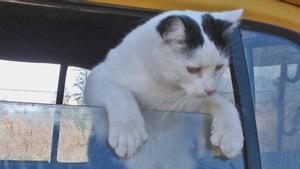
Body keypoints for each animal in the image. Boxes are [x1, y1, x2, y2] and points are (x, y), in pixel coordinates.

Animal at [84, 9, 244, 169]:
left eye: (219, 67)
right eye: (193, 69)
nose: (211, 89)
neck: (163, 86)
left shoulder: (190, 105)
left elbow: (224, 104)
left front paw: (231, 136)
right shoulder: (98, 76)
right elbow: (120, 94)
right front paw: (128, 131)